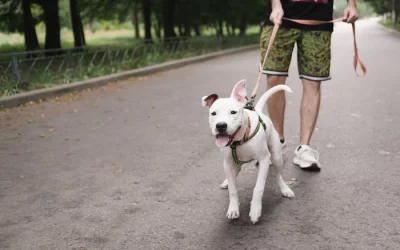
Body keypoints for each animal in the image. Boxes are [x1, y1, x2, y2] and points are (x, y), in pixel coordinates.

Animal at [203, 79, 294, 224]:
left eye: (233, 112)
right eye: (213, 113)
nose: (221, 126)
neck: (239, 140)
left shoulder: (264, 160)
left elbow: (258, 188)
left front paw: (255, 211)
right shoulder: (228, 163)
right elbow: (233, 190)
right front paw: (233, 209)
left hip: (276, 157)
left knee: (277, 173)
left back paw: (285, 189)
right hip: (235, 164)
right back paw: (227, 182)